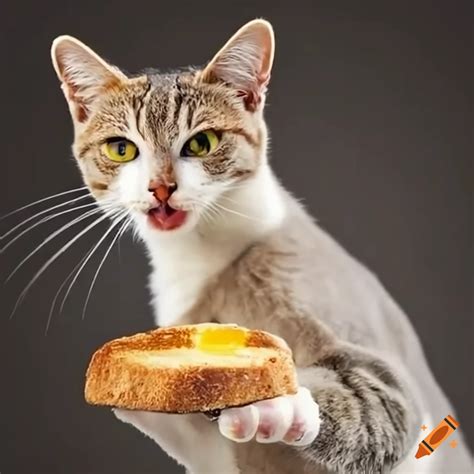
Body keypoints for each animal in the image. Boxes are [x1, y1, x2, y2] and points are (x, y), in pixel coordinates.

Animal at [50, 18, 472, 474]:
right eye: (121, 148)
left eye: (201, 143)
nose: (160, 188)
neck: (203, 255)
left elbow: (384, 398)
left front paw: (279, 407)